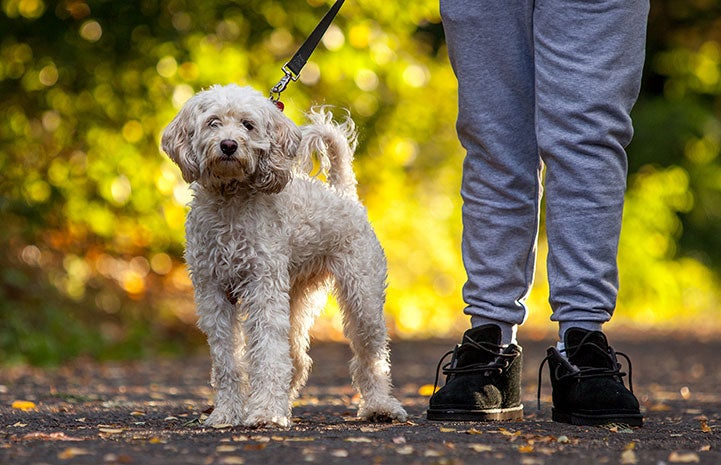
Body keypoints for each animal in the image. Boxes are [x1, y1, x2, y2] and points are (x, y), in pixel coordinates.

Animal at [162, 84, 408, 428]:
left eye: (248, 125)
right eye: (213, 122)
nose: (228, 145)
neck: (231, 204)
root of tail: (343, 194)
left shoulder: (263, 286)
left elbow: (267, 353)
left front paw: (265, 413)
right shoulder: (212, 292)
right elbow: (226, 361)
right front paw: (226, 414)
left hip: (363, 299)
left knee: (371, 358)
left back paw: (380, 406)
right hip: (297, 298)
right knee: (297, 359)